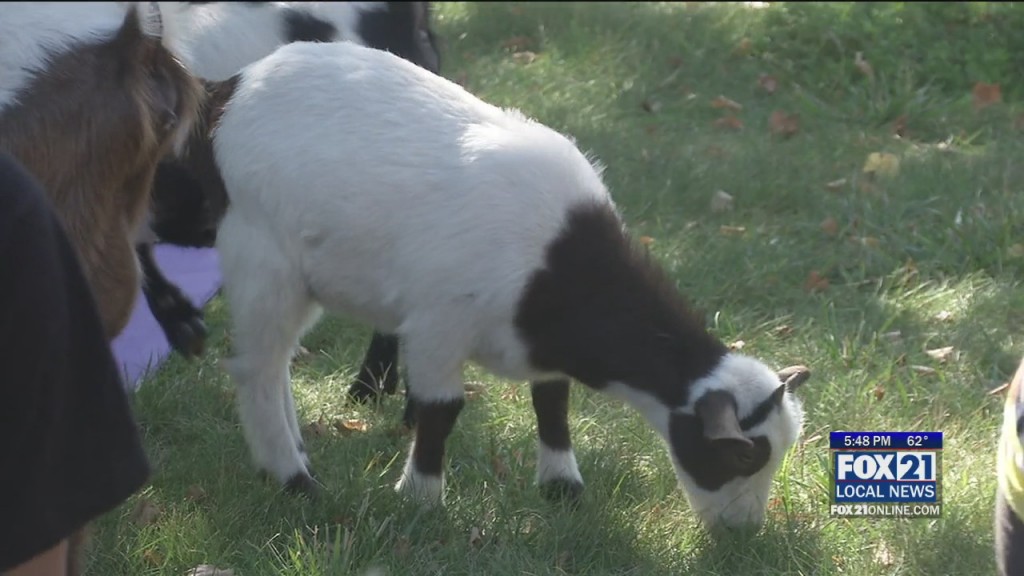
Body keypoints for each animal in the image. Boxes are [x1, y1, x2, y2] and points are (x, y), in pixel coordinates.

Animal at [190, 40, 812, 530]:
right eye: (742, 457)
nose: (743, 531)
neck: (556, 266)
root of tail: (234, 86)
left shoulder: (541, 346)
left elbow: (552, 402)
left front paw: (562, 487)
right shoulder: (437, 326)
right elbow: (442, 410)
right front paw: (420, 499)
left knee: (278, 364)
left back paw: (294, 455)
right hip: (262, 256)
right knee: (257, 370)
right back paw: (294, 479)